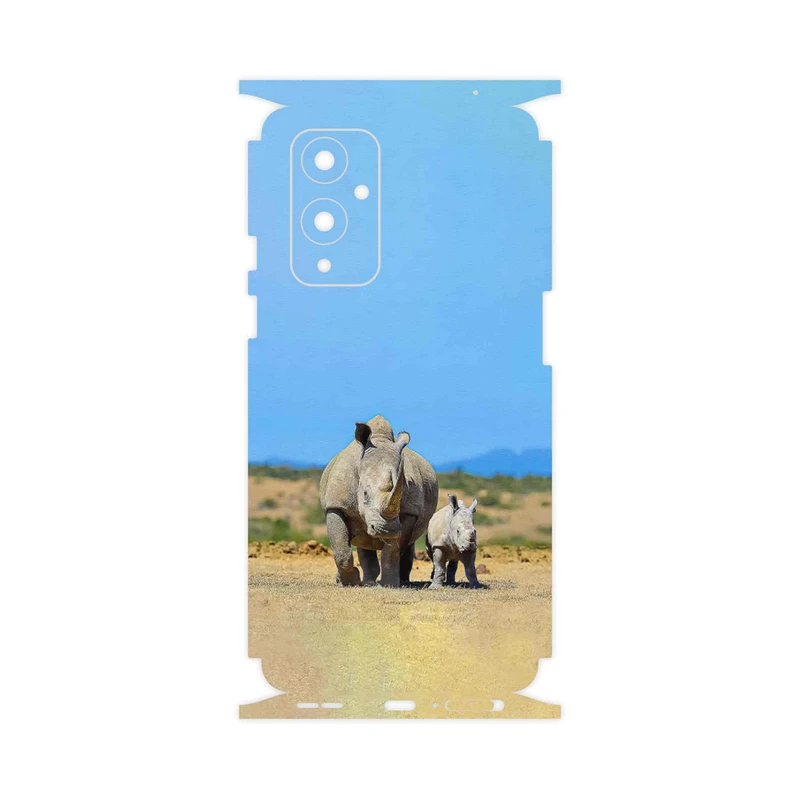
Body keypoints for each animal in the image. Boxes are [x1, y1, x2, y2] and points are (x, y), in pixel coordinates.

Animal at [319, 415, 439, 587]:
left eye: (400, 495)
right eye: (365, 494)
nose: (386, 530)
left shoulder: (408, 512)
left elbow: (392, 551)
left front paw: (390, 584)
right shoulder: (336, 505)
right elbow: (341, 549)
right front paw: (349, 582)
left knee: (407, 543)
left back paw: (400, 581)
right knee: (362, 540)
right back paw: (366, 582)